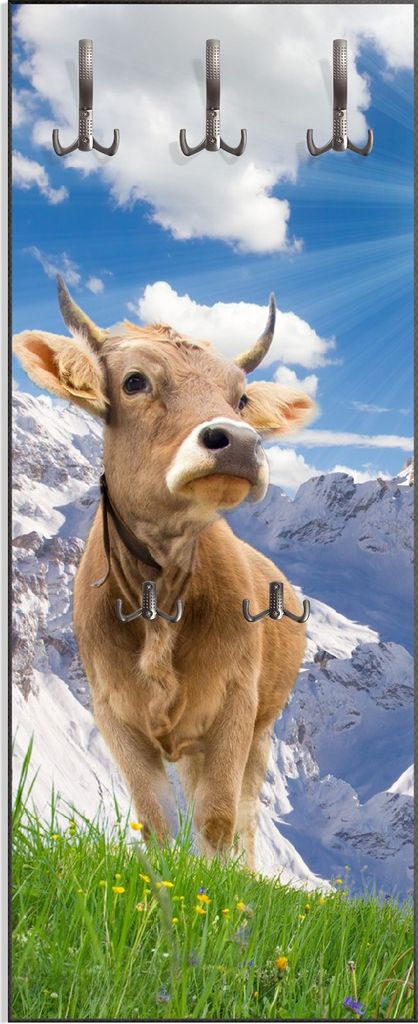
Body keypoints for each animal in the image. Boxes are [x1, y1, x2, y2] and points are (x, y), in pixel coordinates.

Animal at [13, 279, 316, 868]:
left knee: (245, 815)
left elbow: (218, 820)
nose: (239, 441)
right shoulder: (114, 714)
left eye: (240, 397)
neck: (159, 600)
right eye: (135, 381)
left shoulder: (235, 707)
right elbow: (155, 821)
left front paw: (219, 891)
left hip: (262, 727)